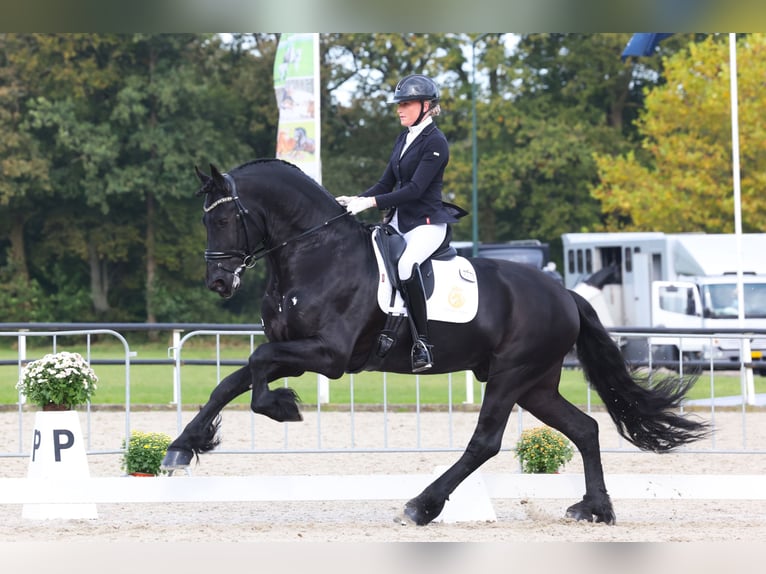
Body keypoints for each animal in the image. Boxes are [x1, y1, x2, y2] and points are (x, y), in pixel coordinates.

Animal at [165, 158, 712, 528]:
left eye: (223, 219)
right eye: (205, 220)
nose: (219, 283)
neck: (314, 253)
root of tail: (564, 294)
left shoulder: (329, 356)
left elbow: (256, 368)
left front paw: (282, 408)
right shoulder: (298, 353)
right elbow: (232, 381)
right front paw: (182, 447)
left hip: (513, 374)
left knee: (486, 442)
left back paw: (421, 505)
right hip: (535, 384)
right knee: (585, 429)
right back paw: (595, 509)